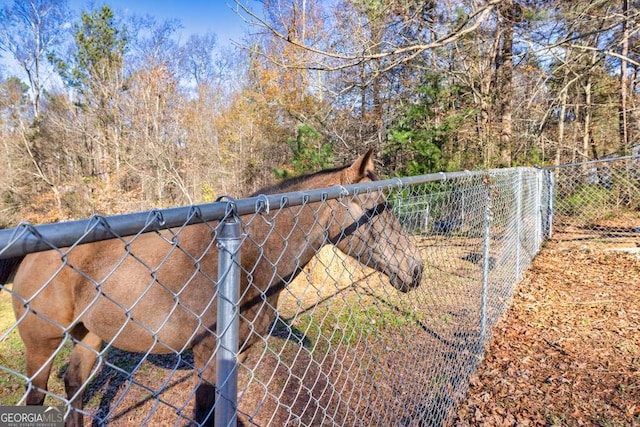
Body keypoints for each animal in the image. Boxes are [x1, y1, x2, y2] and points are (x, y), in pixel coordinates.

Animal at [1, 150, 424, 424]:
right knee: (37, 396)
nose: (415, 269)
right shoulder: (207, 357)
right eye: (375, 207)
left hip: (90, 335)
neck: (248, 260)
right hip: (42, 345)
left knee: (73, 384)